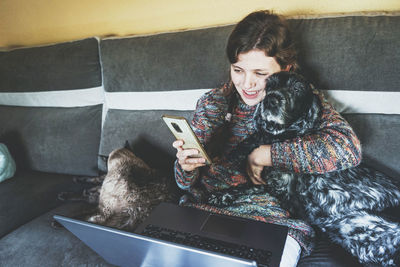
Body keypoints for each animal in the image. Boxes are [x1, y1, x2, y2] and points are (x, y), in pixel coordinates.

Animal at [209, 71, 400, 267]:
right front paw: (221, 195)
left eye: (297, 88)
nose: (270, 100)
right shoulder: (272, 184)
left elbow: (264, 140)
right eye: (269, 86)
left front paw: (238, 151)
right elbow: (246, 186)